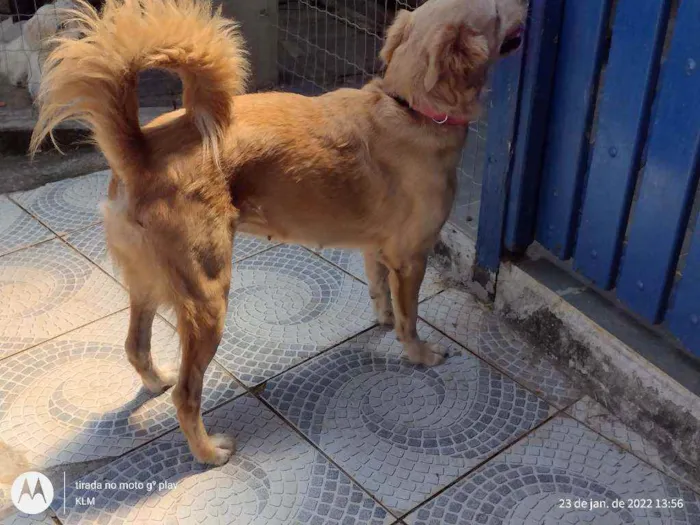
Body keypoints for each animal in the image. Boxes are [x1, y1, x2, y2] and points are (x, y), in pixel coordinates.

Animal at [31, 0, 524, 462]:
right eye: (500, 10)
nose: (532, 11)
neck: (409, 106)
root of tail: (141, 151)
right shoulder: (411, 258)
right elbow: (410, 319)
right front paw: (420, 354)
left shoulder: (375, 249)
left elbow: (380, 292)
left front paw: (382, 320)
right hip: (208, 297)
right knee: (186, 395)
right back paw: (208, 453)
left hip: (149, 284)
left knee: (136, 346)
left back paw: (154, 382)